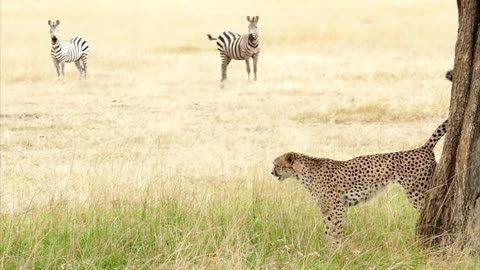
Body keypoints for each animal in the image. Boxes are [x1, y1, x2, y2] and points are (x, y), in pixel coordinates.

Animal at [272, 119, 448, 244]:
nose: (272, 172)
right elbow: (328, 230)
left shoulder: (338, 208)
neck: (302, 173)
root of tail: (422, 148)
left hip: (417, 192)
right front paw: (326, 249)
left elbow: (336, 231)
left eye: (277, 165)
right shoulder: (329, 209)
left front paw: (336, 250)